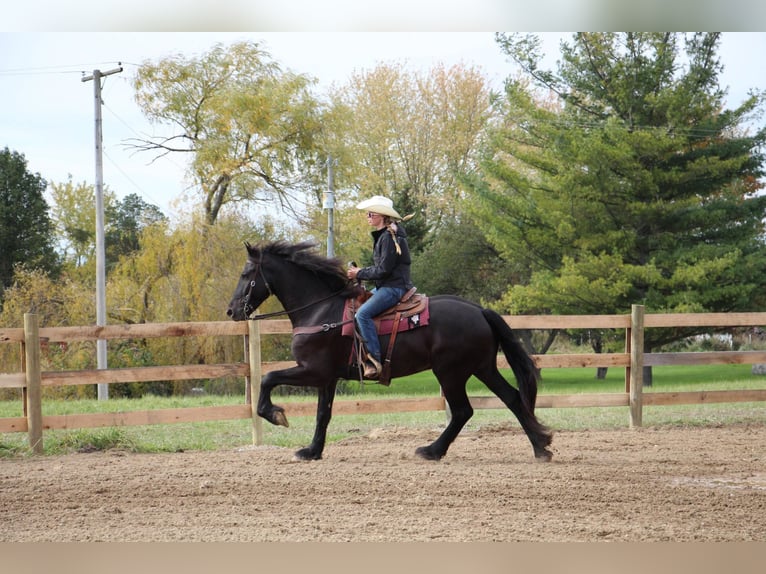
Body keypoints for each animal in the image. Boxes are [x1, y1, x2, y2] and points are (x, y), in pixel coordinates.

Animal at [225, 242, 556, 464]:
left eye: (245, 273)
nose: (231, 311)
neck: (321, 310)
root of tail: (479, 309)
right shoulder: (327, 378)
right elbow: (323, 414)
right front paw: (312, 451)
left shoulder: (312, 370)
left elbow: (268, 378)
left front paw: (276, 414)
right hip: (482, 367)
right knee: (512, 398)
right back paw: (541, 447)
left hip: (450, 373)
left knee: (464, 410)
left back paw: (431, 450)